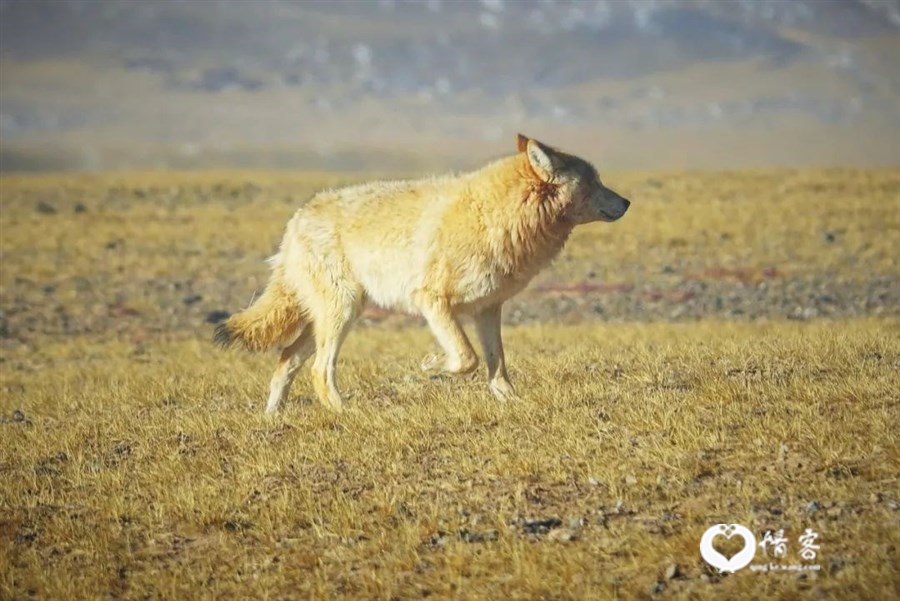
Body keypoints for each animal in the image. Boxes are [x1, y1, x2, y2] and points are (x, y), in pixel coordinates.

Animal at [214, 135, 628, 412]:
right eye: (594, 182)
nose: (627, 202)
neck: (498, 215)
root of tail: (297, 219)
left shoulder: (487, 309)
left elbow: (496, 365)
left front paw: (512, 402)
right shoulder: (432, 302)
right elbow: (466, 358)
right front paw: (431, 366)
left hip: (334, 317)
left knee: (286, 359)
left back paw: (273, 418)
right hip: (341, 314)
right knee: (318, 369)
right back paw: (347, 414)